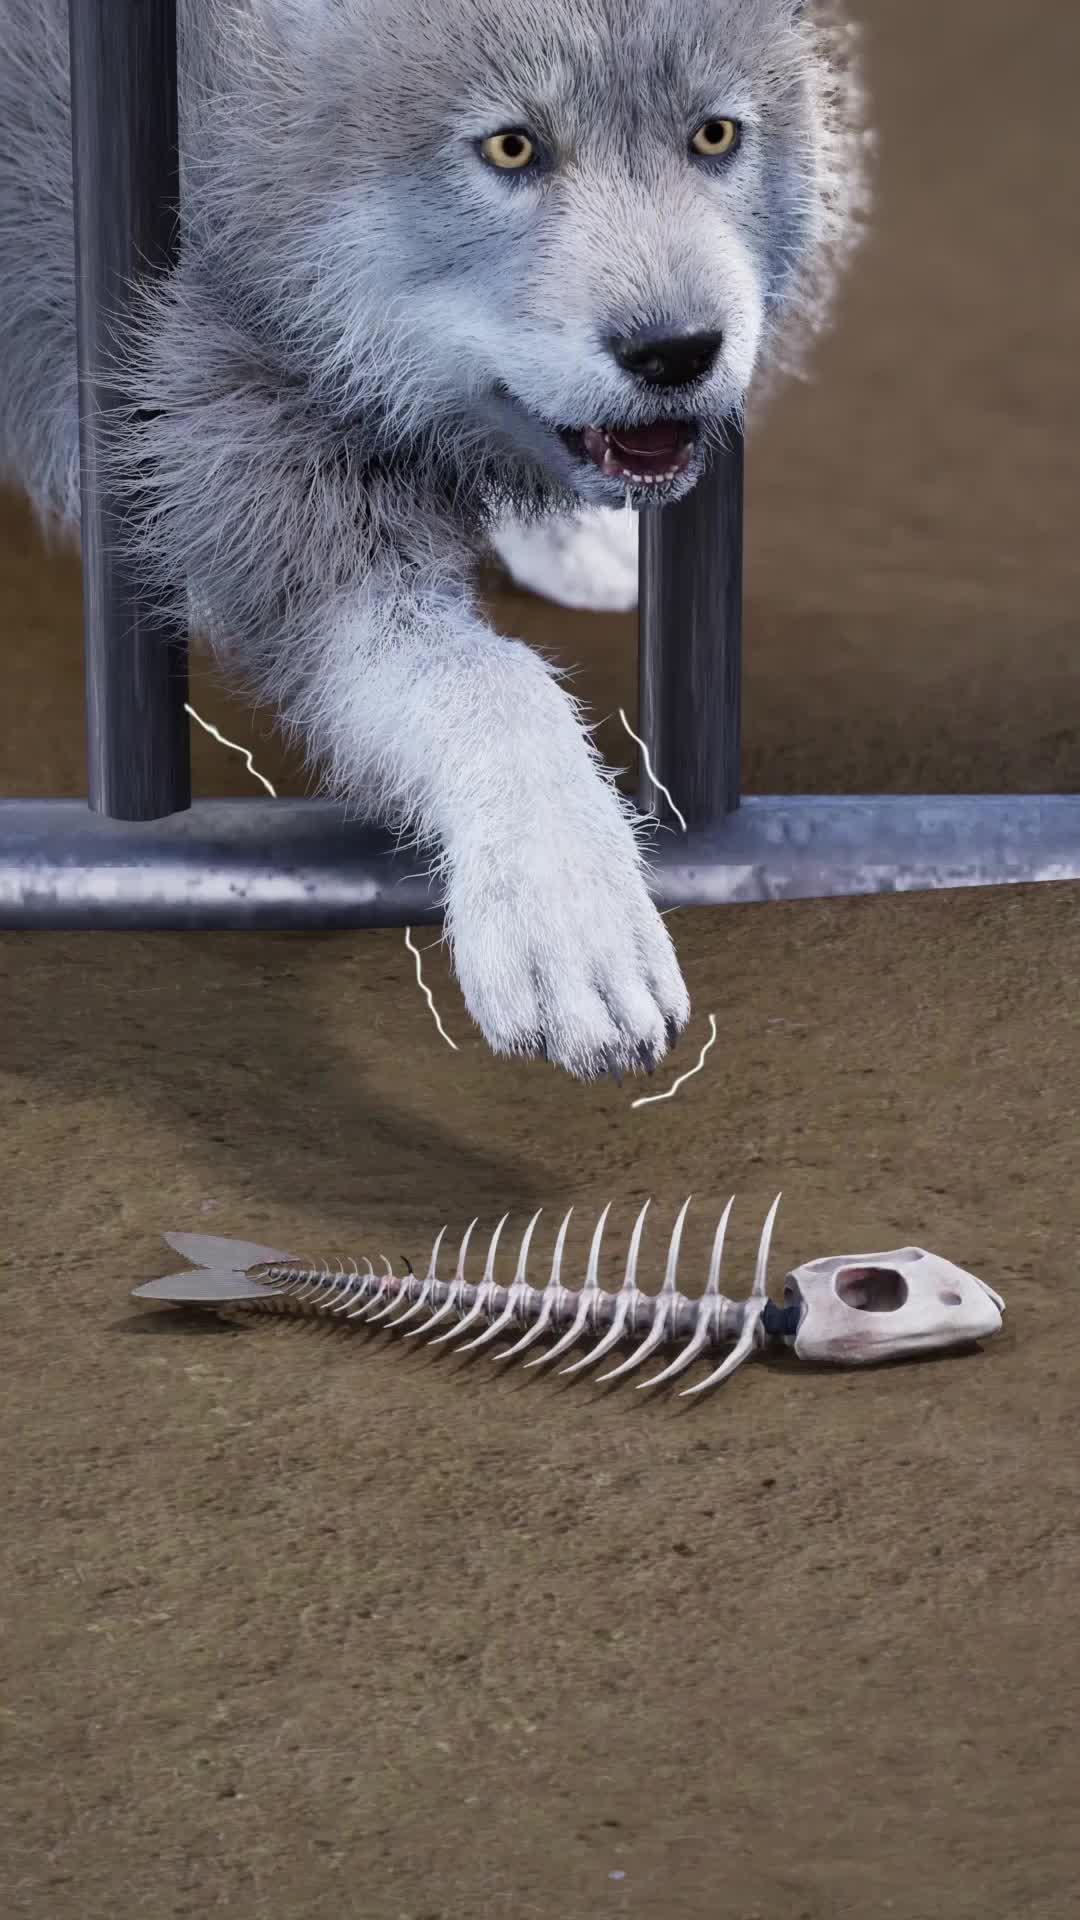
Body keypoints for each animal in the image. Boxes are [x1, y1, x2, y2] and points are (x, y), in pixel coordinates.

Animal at [0, 0, 869, 1079]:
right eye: (511, 147)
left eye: (715, 135)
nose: (676, 353)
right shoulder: (247, 474)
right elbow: (495, 683)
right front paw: (570, 909)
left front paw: (574, 544)